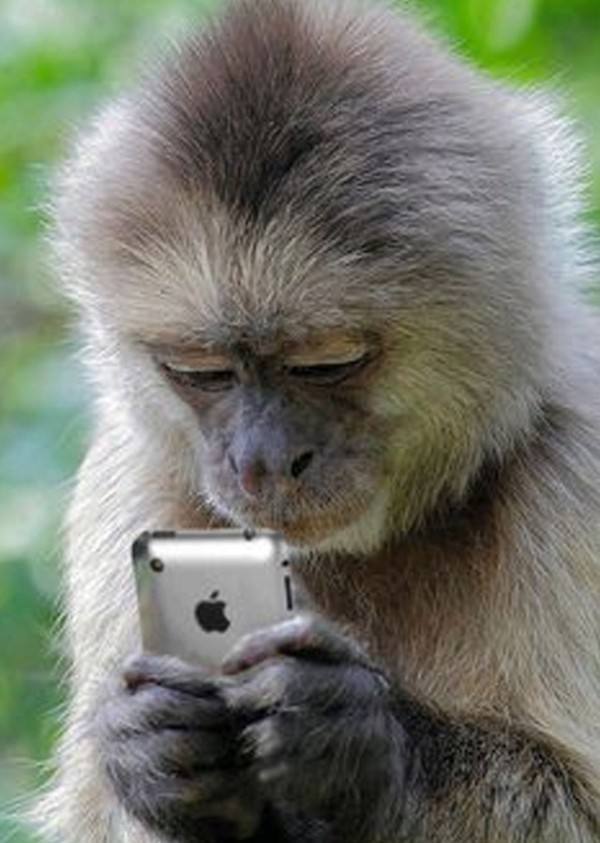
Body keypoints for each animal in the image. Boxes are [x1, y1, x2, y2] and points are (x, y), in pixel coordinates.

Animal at [30, 0, 600, 840]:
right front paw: (147, 748)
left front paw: (356, 740)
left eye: (325, 363)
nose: (263, 460)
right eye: (203, 372)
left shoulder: (579, 463)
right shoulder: (127, 473)